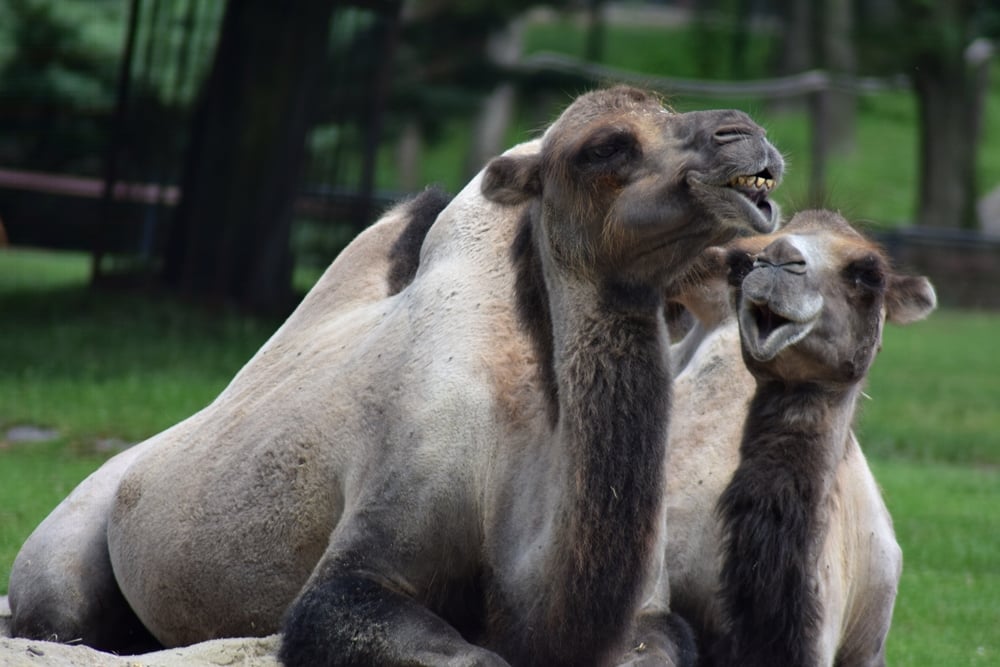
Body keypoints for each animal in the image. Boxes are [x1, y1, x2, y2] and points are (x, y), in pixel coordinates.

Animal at [11, 88, 784, 667]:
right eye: (604, 146)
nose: (746, 134)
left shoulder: (648, 609)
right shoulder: (383, 527)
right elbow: (415, 634)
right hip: (61, 558)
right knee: (60, 619)